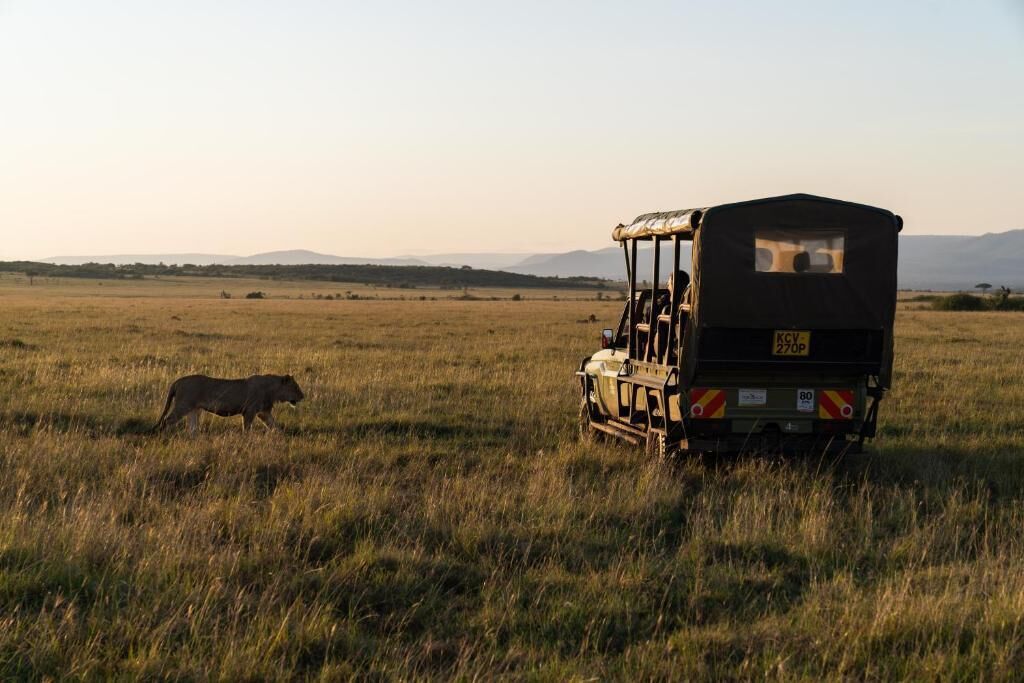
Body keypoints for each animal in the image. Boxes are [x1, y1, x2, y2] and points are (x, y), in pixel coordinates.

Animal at [154, 374, 305, 434]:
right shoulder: (249, 411)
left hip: (194, 410)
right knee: (167, 420)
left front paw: (281, 437)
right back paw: (163, 435)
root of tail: (178, 381)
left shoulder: (264, 412)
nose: (303, 396)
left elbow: (274, 425)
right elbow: (247, 428)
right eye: (296, 387)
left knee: (192, 428)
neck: (273, 391)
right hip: (183, 406)